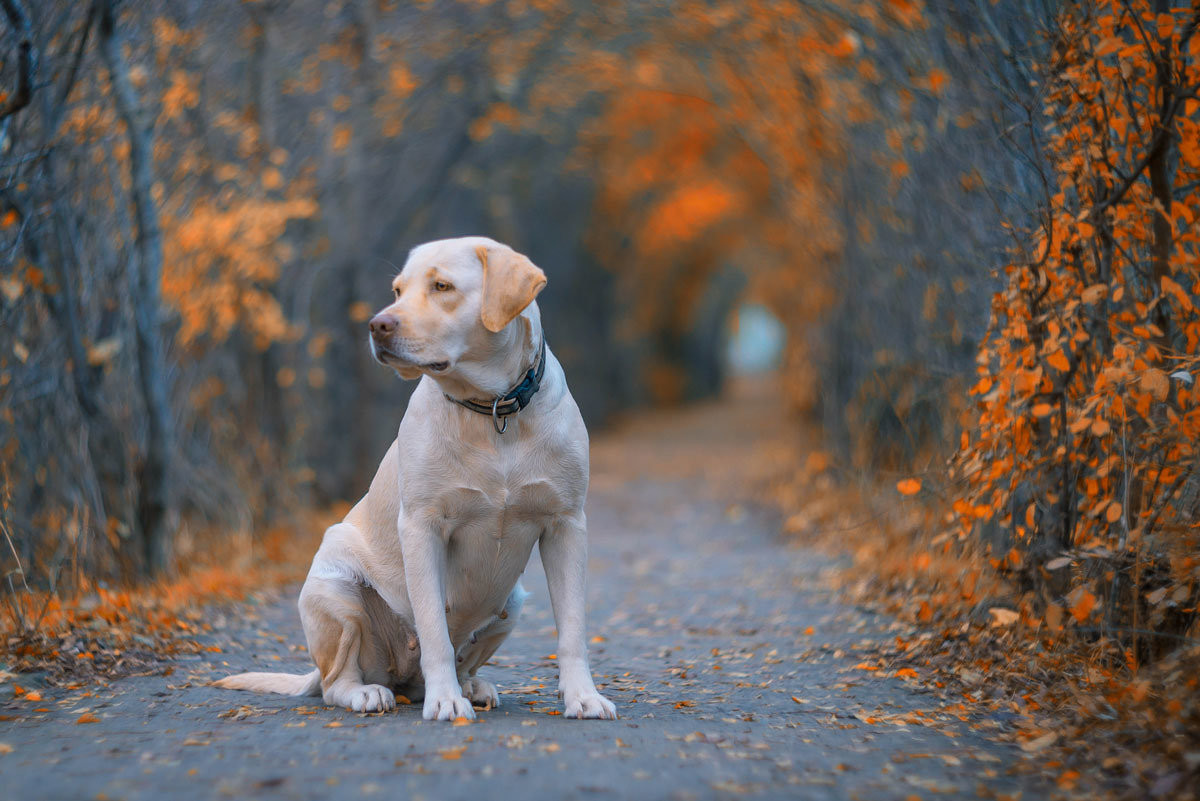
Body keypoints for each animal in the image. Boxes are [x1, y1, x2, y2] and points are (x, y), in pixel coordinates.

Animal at [217, 236, 624, 719]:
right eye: (397, 290)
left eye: (442, 286)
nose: (377, 324)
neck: (492, 410)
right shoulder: (422, 527)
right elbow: (434, 632)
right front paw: (445, 701)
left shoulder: (566, 525)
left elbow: (572, 629)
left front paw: (583, 696)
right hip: (335, 592)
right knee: (337, 681)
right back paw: (370, 693)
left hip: (513, 601)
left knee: (454, 664)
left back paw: (471, 686)